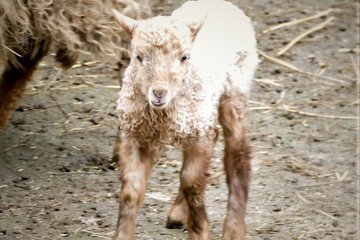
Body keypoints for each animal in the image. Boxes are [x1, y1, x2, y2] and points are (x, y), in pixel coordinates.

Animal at [112, 0, 258, 239]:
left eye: (184, 57)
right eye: (138, 57)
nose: (159, 93)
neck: (161, 115)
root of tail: (224, 4)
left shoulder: (198, 135)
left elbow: (191, 183)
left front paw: (199, 229)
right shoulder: (134, 134)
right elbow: (130, 190)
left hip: (234, 91)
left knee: (238, 154)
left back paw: (234, 229)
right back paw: (179, 212)